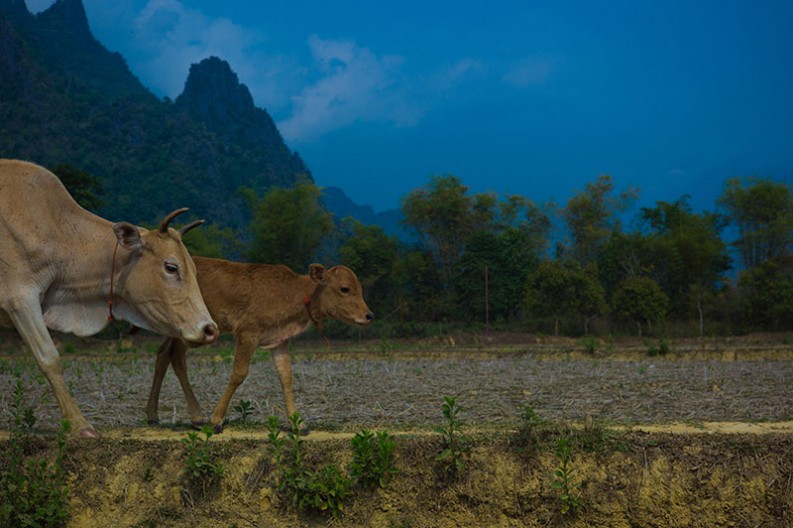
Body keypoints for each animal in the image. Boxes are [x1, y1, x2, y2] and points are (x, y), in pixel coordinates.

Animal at [145, 256, 374, 434]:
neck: (294, 294)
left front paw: (297, 423)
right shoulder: (248, 333)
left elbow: (286, 377)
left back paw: (155, 414)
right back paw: (195, 416)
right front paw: (216, 420)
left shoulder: (279, 341)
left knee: (165, 355)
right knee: (175, 358)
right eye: (345, 288)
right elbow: (238, 374)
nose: (368, 315)